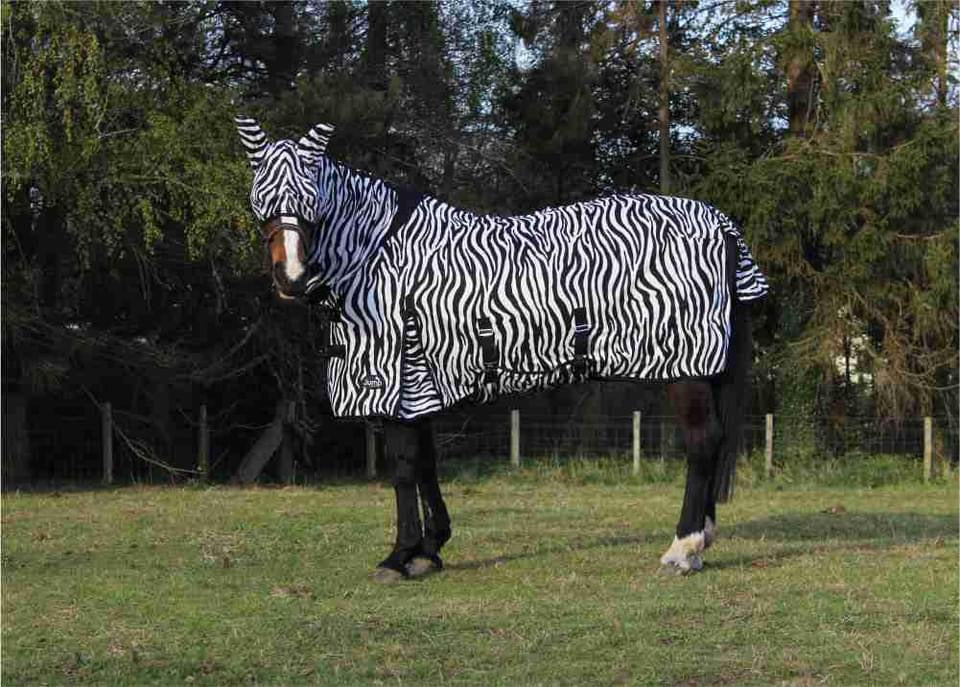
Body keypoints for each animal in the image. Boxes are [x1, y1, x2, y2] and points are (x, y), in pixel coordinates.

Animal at [235, 117, 768, 580]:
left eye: (312, 199)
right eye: (261, 197)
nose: (292, 277)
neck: (382, 256)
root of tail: (720, 224)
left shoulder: (395, 382)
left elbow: (403, 468)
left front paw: (399, 556)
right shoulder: (420, 384)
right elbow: (426, 464)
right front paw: (429, 550)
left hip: (686, 370)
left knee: (702, 443)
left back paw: (683, 548)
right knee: (713, 442)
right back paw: (701, 542)